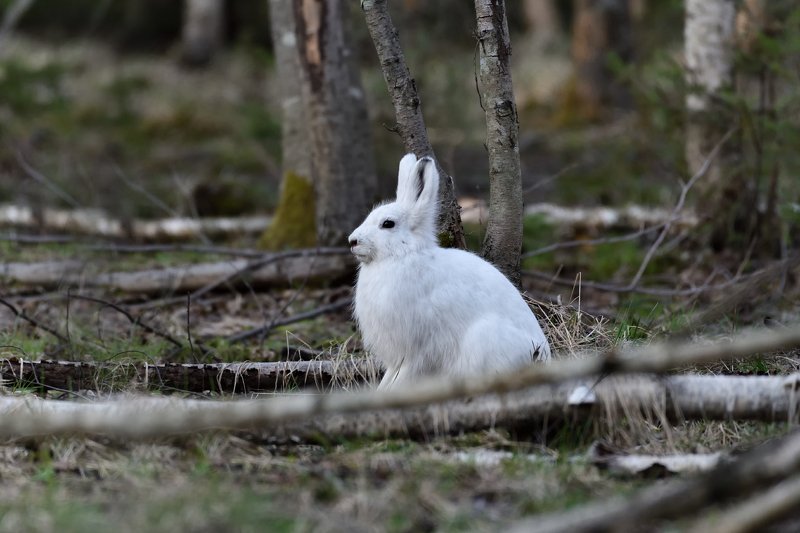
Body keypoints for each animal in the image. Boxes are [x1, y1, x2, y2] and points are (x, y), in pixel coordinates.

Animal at [348, 153, 551, 390]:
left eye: (388, 224)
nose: (352, 241)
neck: (402, 255)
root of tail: (543, 358)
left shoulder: (417, 348)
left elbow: (405, 375)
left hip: (484, 340)